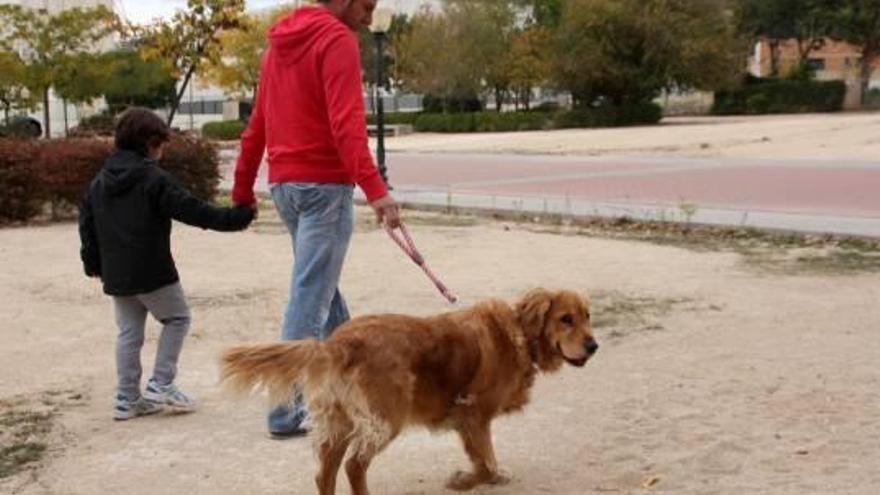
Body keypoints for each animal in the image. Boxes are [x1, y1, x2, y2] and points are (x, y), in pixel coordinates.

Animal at [223, 290, 600, 495]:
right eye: (566, 319)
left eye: (587, 316)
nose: (594, 346)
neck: (517, 334)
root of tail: (336, 342)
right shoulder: (473, 414)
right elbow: (485, 461)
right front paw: (464, 480)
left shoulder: (472, 420)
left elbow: (488, 458)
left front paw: (491, 477)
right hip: (386, 419)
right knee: (354, 466)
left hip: (340, 421)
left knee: (325, 471)